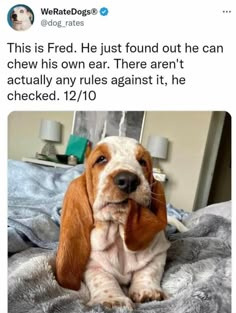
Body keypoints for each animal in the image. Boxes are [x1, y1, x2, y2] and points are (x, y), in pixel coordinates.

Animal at [57, 135, 171, 308]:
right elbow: (103, 278)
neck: (118, 232)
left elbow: (148, 270)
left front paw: (148, 292)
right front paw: (112, 299)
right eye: (101, 159)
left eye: (142, 161)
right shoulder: (92, 265)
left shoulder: (159, 252)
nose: (128, 180)